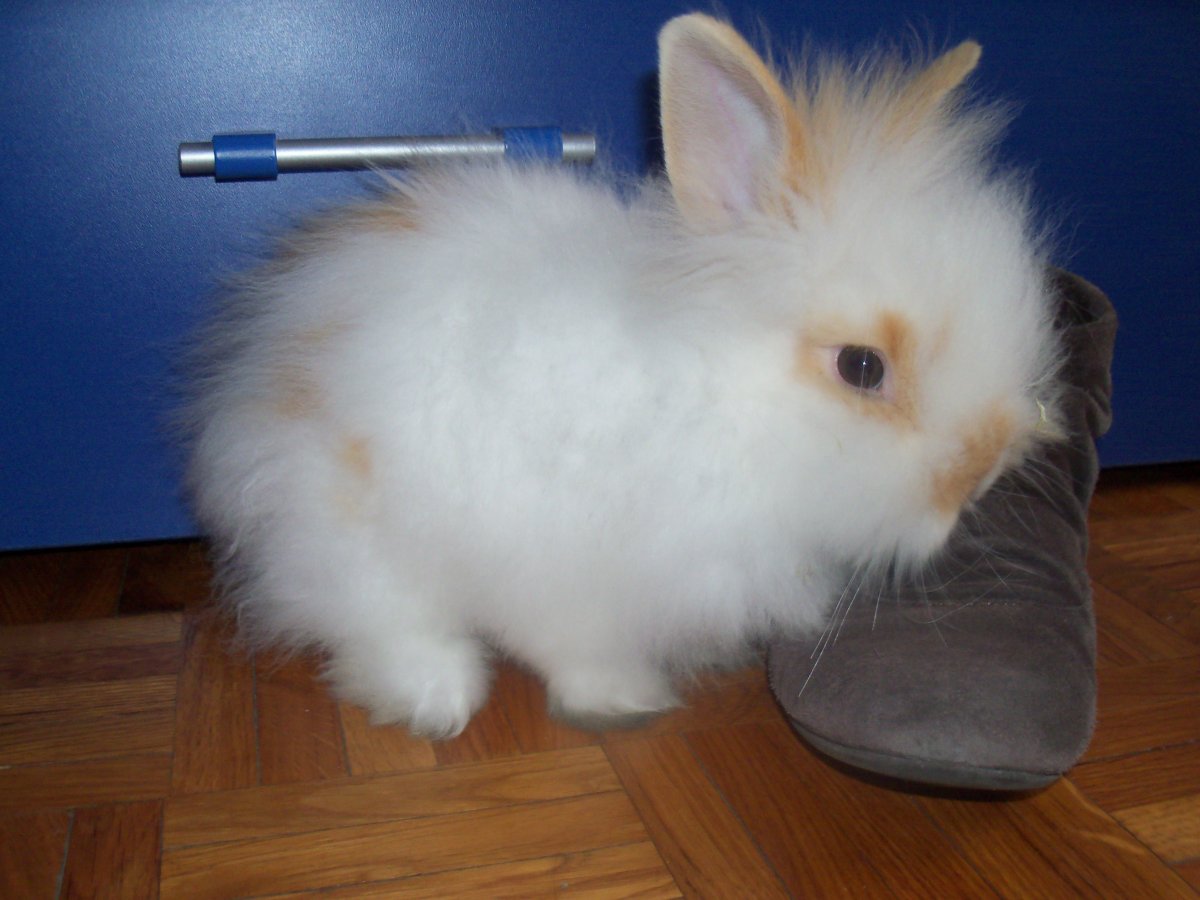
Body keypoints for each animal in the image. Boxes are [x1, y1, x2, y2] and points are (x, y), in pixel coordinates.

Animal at [183, 13, 1064, 737]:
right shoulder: (564, 567)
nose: (979, 478)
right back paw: (438, 698)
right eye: (861, 366)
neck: (714, 398)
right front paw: (623, 701)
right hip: (357, 532)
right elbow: (577, 646)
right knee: (371, 620)